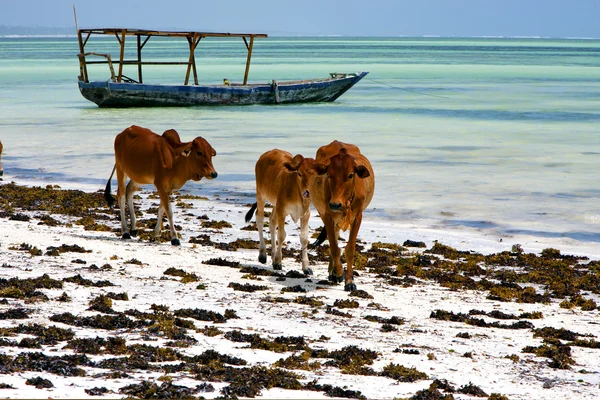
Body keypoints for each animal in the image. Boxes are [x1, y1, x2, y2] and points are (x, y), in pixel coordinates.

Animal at [310, 141, 376, 290]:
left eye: (351, 175)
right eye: (329, 175)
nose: (335, 204)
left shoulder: (357, 216)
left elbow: (350, 249)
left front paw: (350, 281)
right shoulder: (327, 215)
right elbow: (334, 247)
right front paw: (339, 273)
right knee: (332, 239)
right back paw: (333, 272)